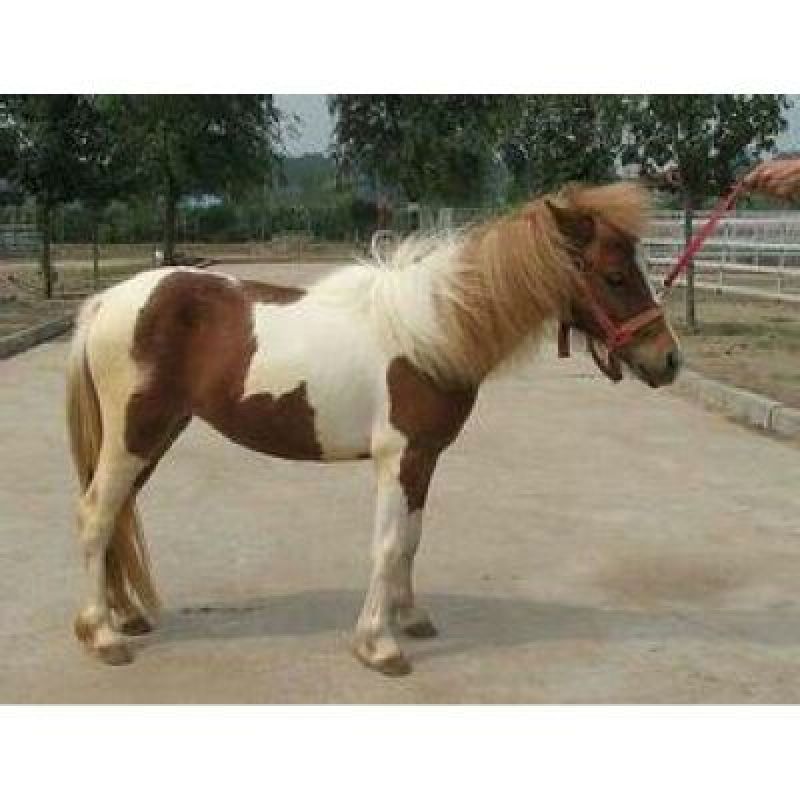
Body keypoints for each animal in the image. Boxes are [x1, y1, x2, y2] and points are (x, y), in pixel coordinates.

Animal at [66, 181, 682, 676]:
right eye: (615, 275)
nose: (668, 360)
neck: (433, 333)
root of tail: (106, 301)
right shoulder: (398, 457)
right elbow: (387, 545)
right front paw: (379, 646)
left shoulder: (425, 458)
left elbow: (411, 539)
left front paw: (411, 618)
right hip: (134, 437)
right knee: (97, 514)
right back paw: (102, 635)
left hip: (156, 436)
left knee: (118, 514)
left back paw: (127, 616)